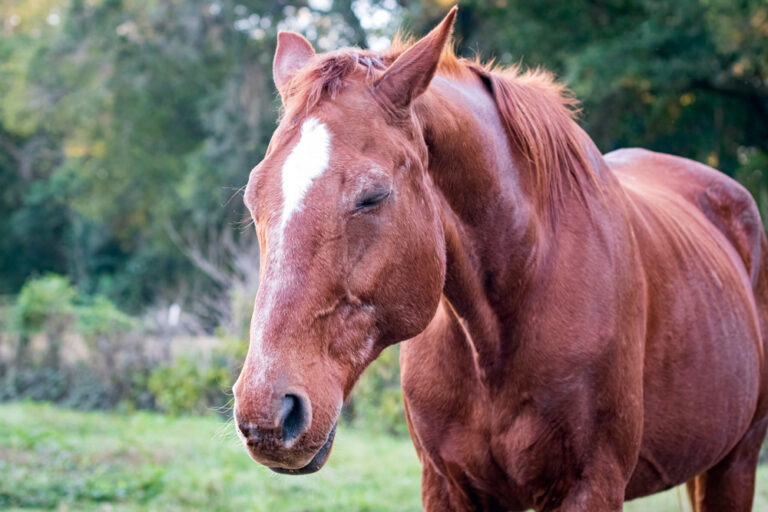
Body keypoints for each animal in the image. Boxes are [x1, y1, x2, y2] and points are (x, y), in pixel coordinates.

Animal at [232, 7, 768, 511]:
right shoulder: (447, 486)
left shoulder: (591, 485)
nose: (267, 412)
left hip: (736, 464)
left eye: (372, 196)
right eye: (253, 198)